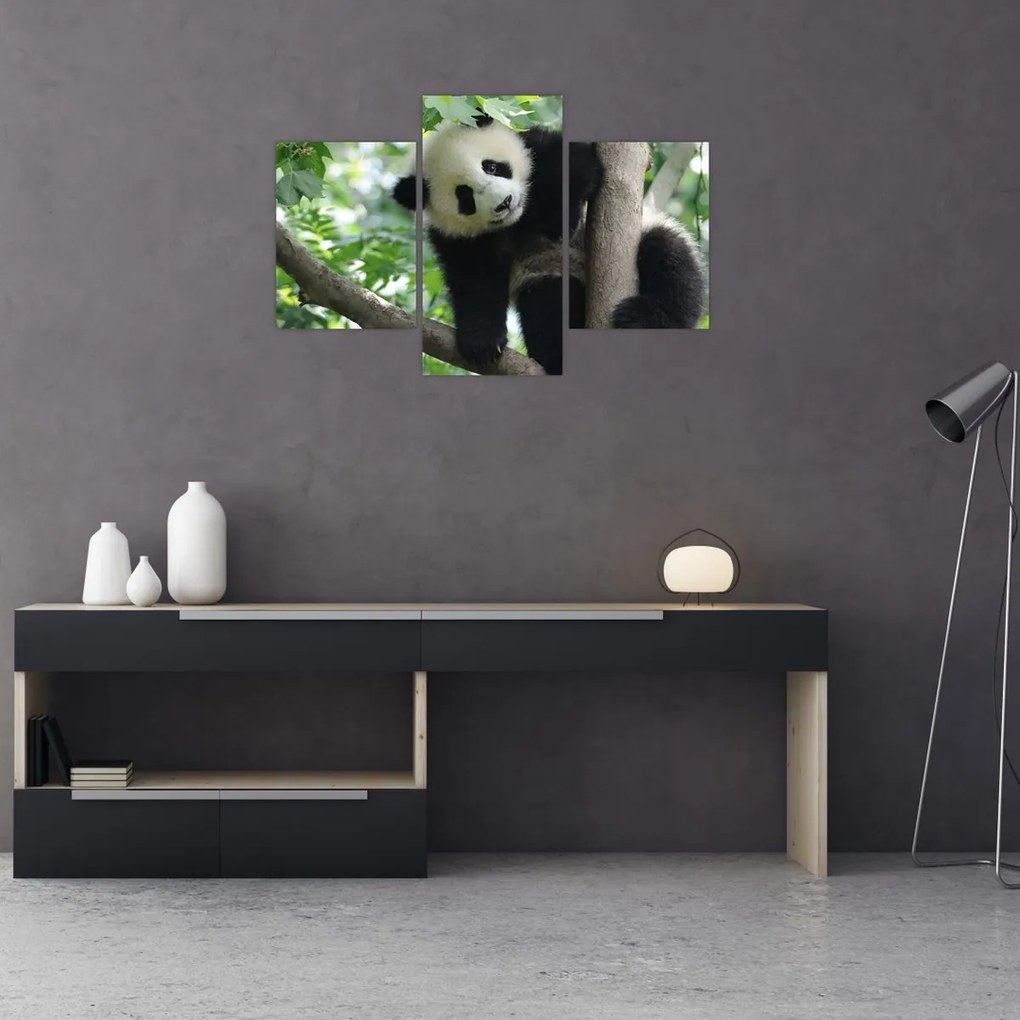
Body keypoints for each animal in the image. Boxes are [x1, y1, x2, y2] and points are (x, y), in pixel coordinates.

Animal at [393, 117, 705, 375]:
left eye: (492, 167)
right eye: (465, 196)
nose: (505, 203)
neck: (517, 221)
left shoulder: (539, 148)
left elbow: (577, 168)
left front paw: (562, 219)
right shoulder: (457, 238)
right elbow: (474, 282)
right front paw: (481, 341)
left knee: (669, 262)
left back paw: (643, 316)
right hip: (547, 276)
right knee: (549, 311)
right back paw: (559, 355)